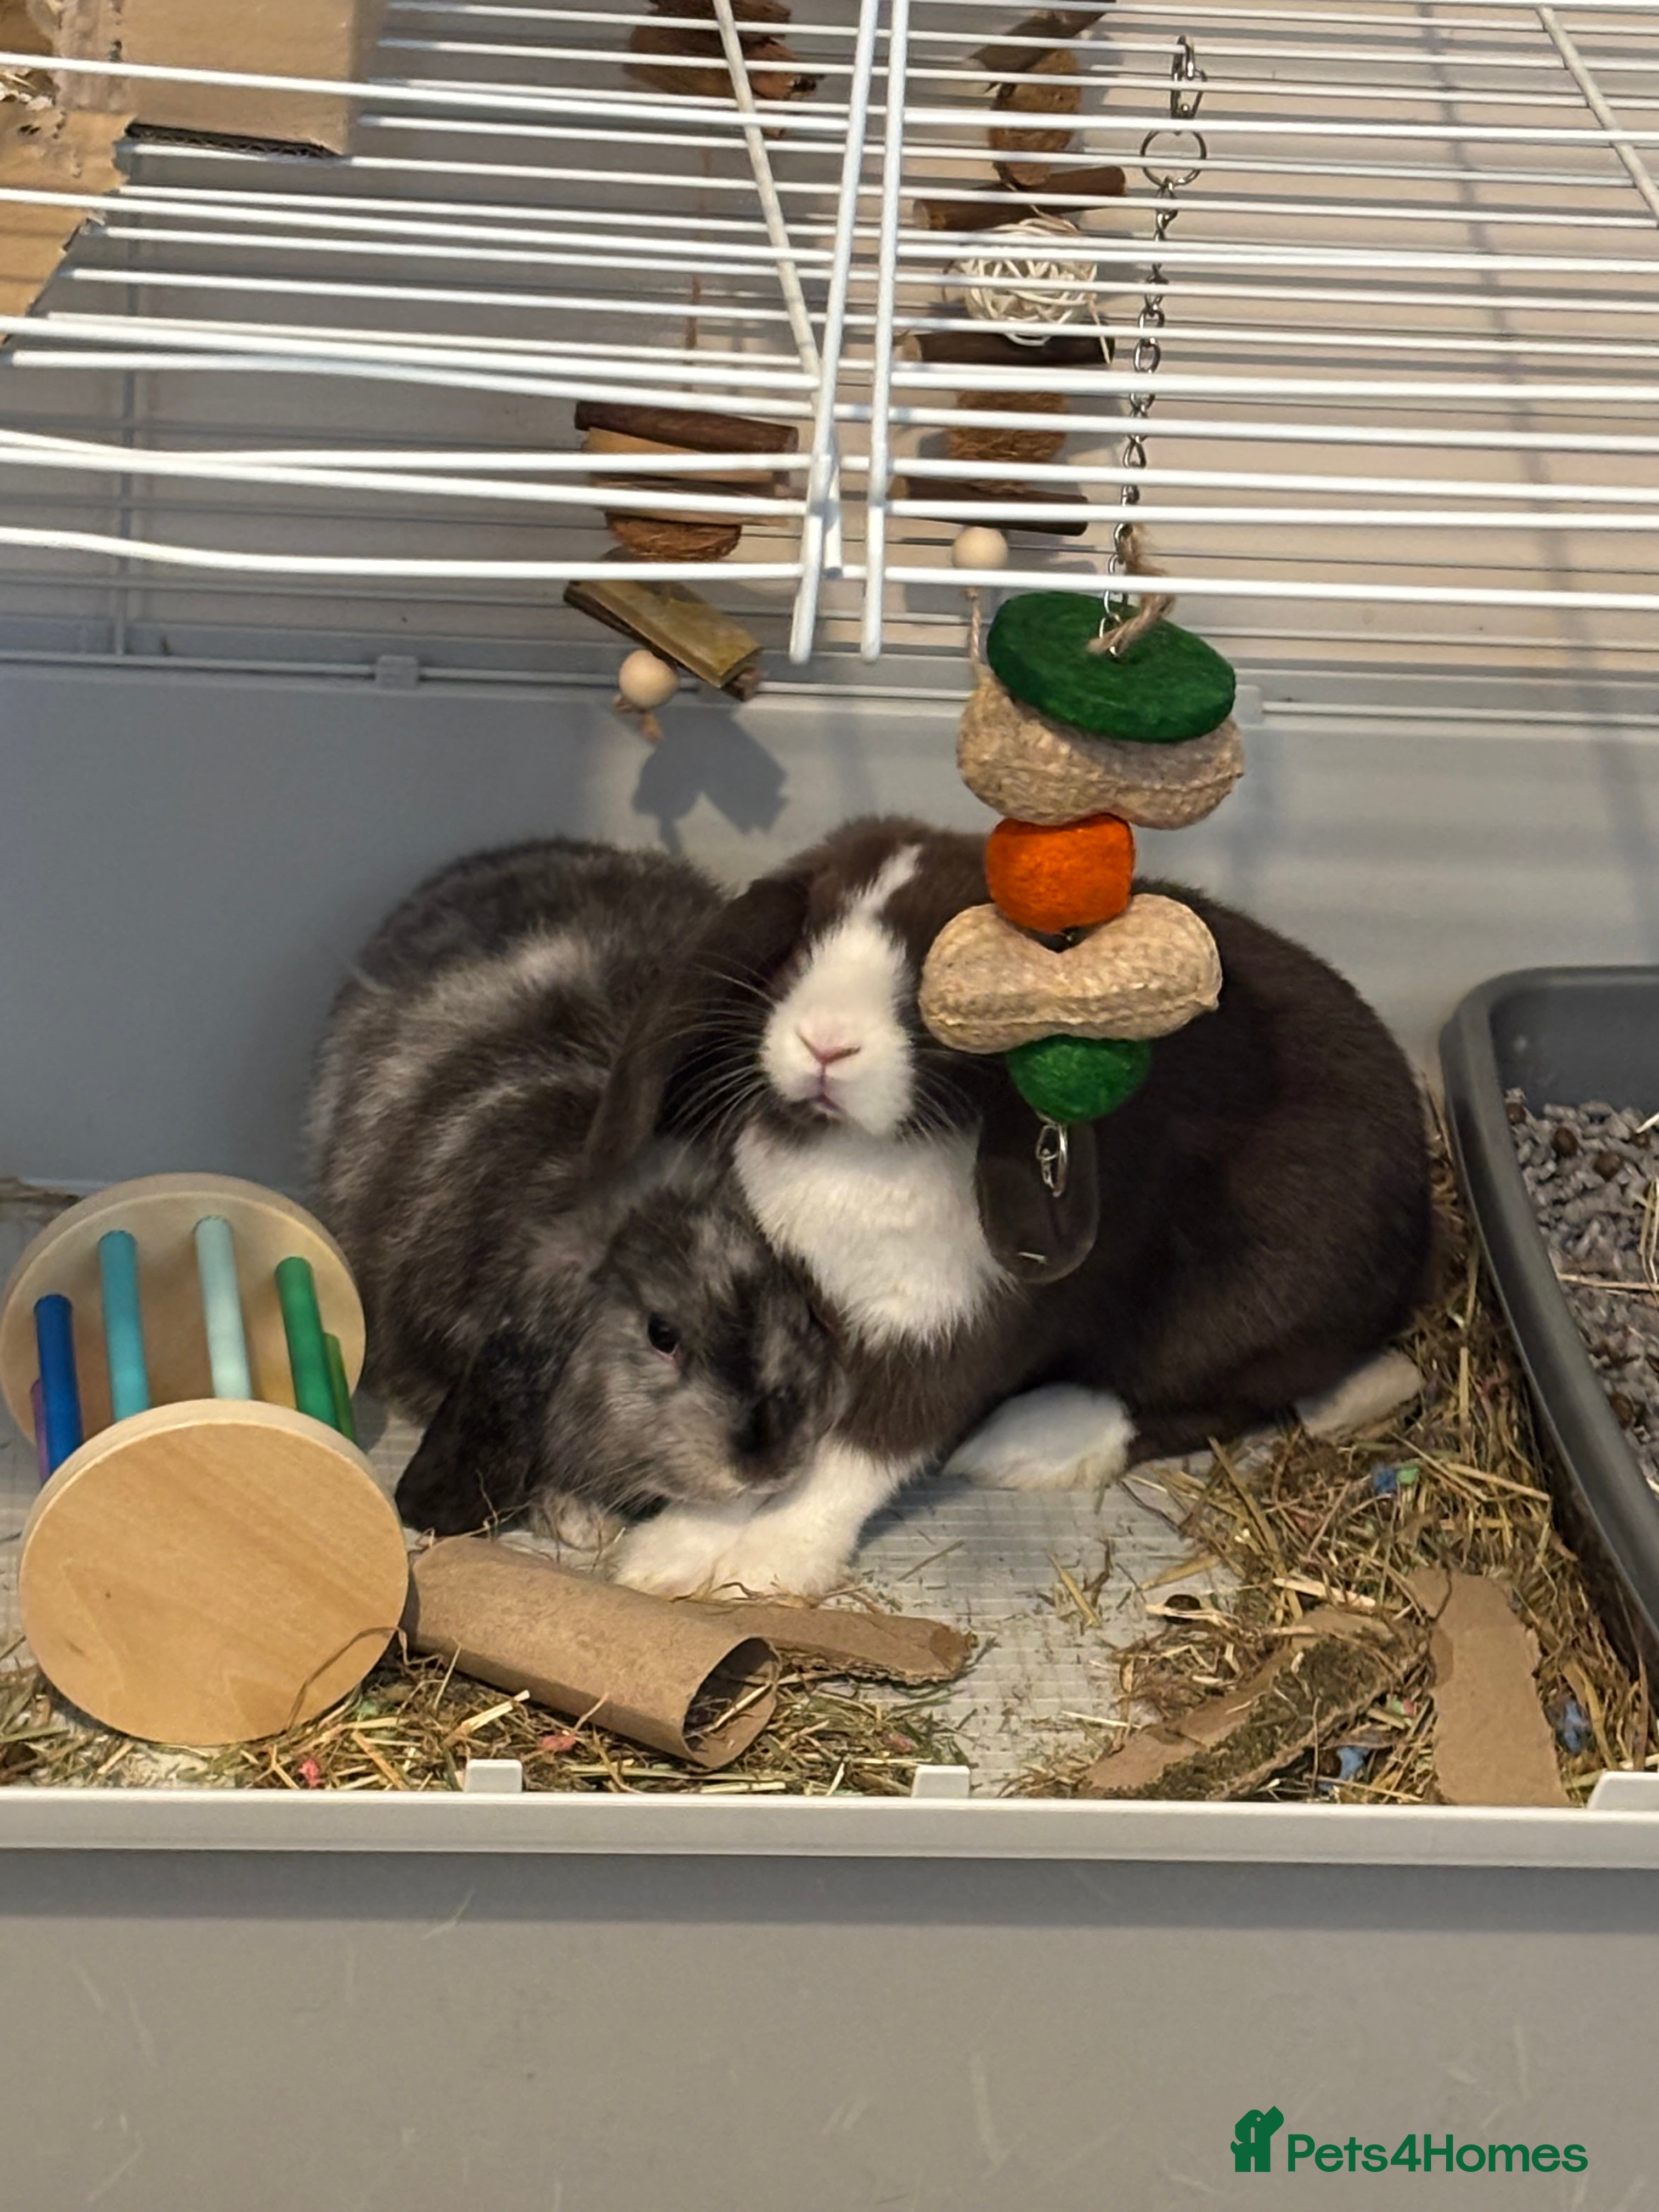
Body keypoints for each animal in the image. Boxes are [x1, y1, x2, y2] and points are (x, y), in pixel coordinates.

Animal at [580, 814, 1434, 1597]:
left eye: (948, 982)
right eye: (802, 946)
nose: (826, 1044)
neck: (860, 1152)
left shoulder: (947, 1337)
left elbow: (859, 1454)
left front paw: (771, 1564)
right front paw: (670, 1553)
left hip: (1251, 1308)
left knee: (1212, 1399)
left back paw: (1030, 1441)